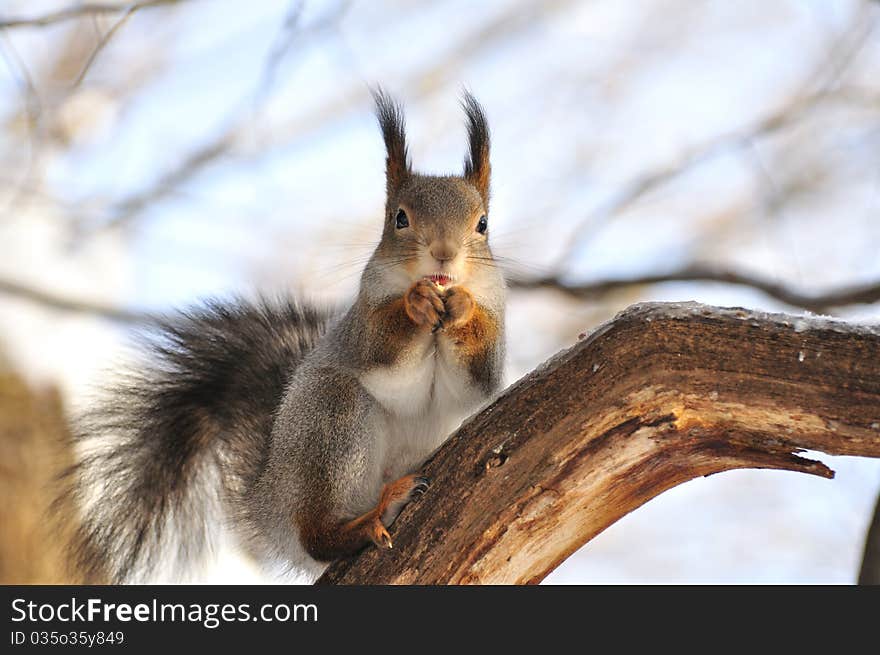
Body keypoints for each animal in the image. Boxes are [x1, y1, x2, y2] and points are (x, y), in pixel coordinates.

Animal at [63, 88, 508, 584]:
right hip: (329, 422)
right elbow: (378, 347)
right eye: (400, 218)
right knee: (318, 536)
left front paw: (462, 307)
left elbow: (481, 375)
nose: (444, 255)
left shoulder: (494, 326)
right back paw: (369, 519)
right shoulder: (361, 321)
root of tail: (271, 495)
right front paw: (415, 303)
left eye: (483, 224)